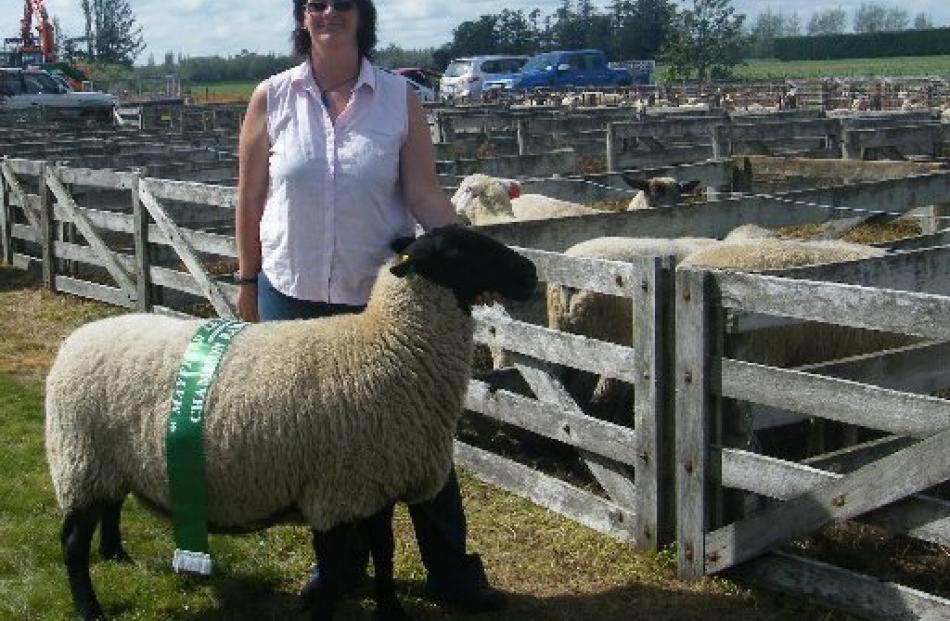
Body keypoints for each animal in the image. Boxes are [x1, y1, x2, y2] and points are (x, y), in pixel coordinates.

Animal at [44, 225, 540, 620]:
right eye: (459, 251)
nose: (532, 272)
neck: (387, 342)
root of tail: (75, 340)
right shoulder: (334, 492)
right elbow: (336, 567)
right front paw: (329, 609)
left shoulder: (375, 484)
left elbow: (384, 553)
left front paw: (390, 610)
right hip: (80, 457)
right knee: (71, 541)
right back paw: (89, 607)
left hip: (110, 459)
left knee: (112, 505)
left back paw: (116, 555)